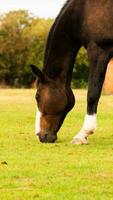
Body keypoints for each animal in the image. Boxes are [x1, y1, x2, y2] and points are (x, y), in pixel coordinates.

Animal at [30, 0, 113, 144]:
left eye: (37, 96)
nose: (39, 135)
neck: (82, 12)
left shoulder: (99, 50)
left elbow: (92, 94)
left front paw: (82, 134)